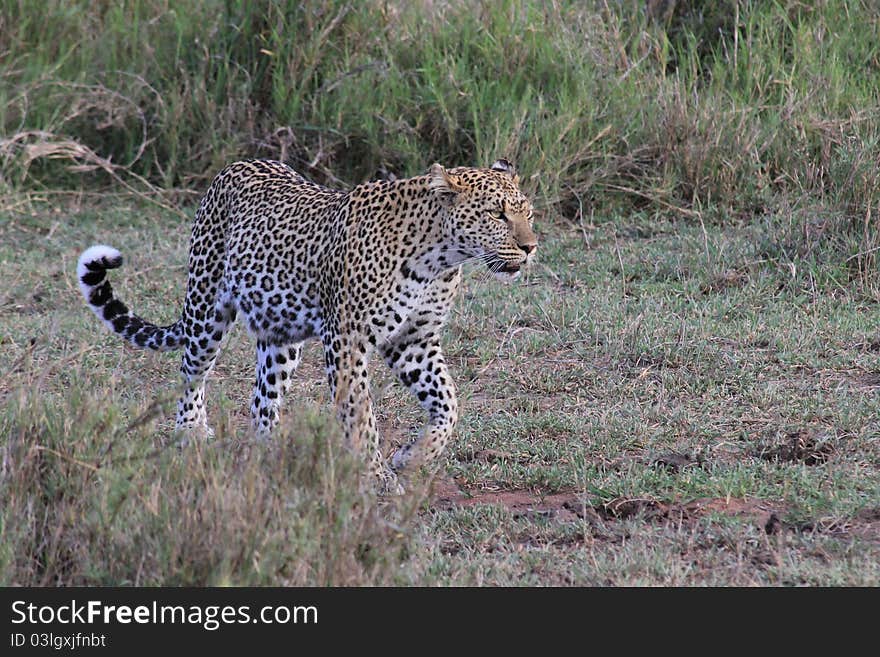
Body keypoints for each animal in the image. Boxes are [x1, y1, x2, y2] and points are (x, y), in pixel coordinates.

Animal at [79, 159, 536, 492]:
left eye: (528, 214)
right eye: (497, 214)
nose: (531, 247)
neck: (439, 257)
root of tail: (234, 166)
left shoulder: (415, 340)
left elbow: (448, 404)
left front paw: (412, 456)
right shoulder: (348, 338)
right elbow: (360, 413)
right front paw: (376, 475)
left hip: (281, 336)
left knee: (262, 400)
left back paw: (270, 455)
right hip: (206, 307)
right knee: (191, 372)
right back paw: (190, 432)